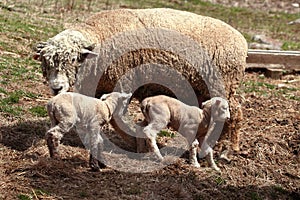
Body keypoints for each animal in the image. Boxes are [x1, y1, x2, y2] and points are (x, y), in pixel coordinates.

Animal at [34, 7, 247, 152]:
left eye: (72, 59)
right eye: (46, 62)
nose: (56, 88)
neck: (100, 37)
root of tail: (241, 40)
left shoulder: (123, 83)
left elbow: (118, 118)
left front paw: (136, 142)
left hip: (222, 84)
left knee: (235, 113)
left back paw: (229, 149)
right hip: (203, 89)